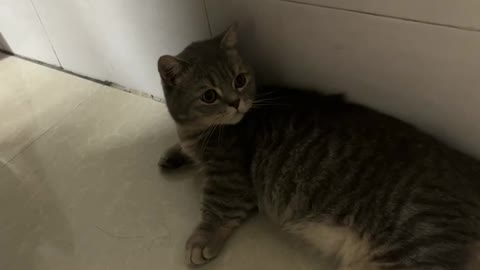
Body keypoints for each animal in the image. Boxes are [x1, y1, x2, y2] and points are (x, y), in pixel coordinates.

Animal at [156, 24, 478, 268]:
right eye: (209, 96)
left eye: (239, 80)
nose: (236, 103)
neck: (195, 131)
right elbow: (184, 151)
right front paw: (172, 154)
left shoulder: (230, 183)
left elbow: (216, 208)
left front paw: (201, 240)